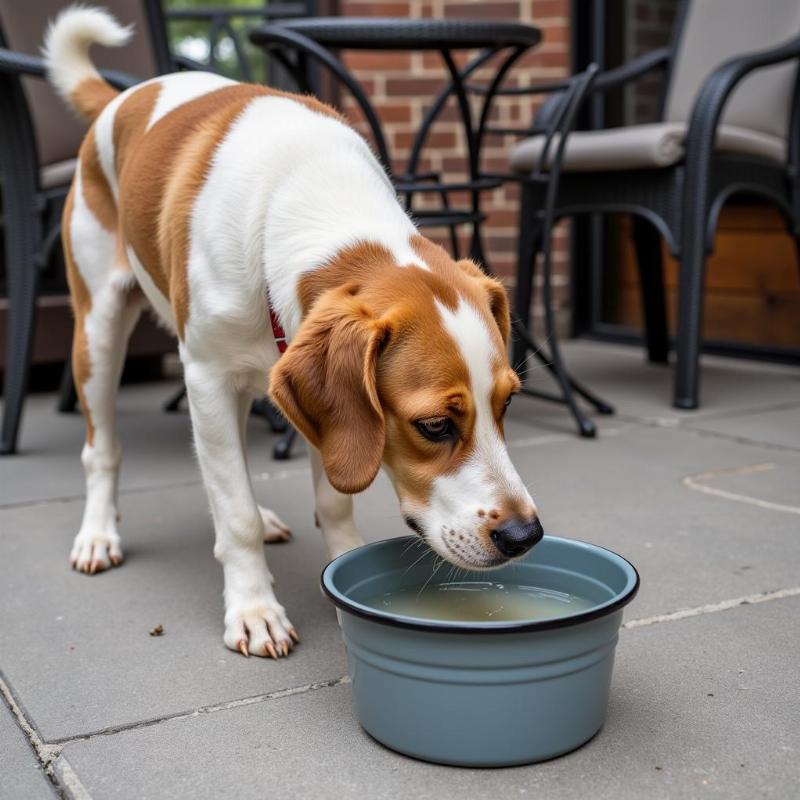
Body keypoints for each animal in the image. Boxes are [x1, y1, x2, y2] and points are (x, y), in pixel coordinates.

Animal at [45, 4, 544, 656]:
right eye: (434, 426)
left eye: (507, 403)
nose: (524, 535)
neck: (306, 202)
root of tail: (123, 96)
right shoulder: (204, 376)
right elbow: (232, 515)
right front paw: (253, 607)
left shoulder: (320, 415)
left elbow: (328, 497)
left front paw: (342, 571)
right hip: (99, 334)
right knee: (102, 448)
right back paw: (99, 534)